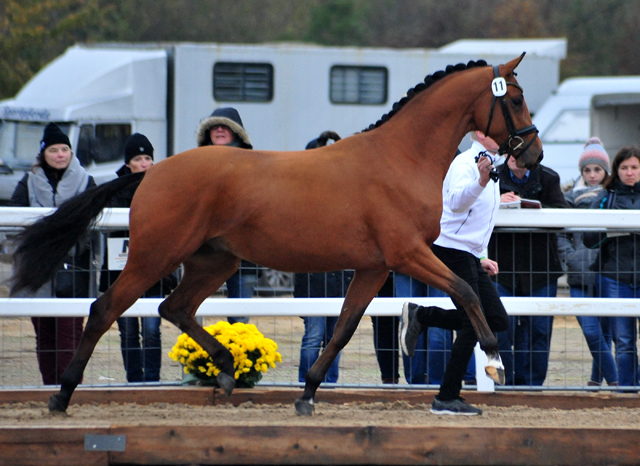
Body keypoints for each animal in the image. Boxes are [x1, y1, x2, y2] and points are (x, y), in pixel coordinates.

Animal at [11, 53, 540, 416]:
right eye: (514, 99)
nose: (531, 155)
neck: (401, 157)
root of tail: (153, 171)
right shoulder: (407, 253)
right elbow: (466, 289)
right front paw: (494, 358)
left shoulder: (374, 266)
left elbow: (344, 327)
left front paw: (307, 394)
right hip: (153, 256)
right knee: (105, 309)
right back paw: (62, 395)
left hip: (214, 260)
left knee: (174, 308)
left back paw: (226, 369)